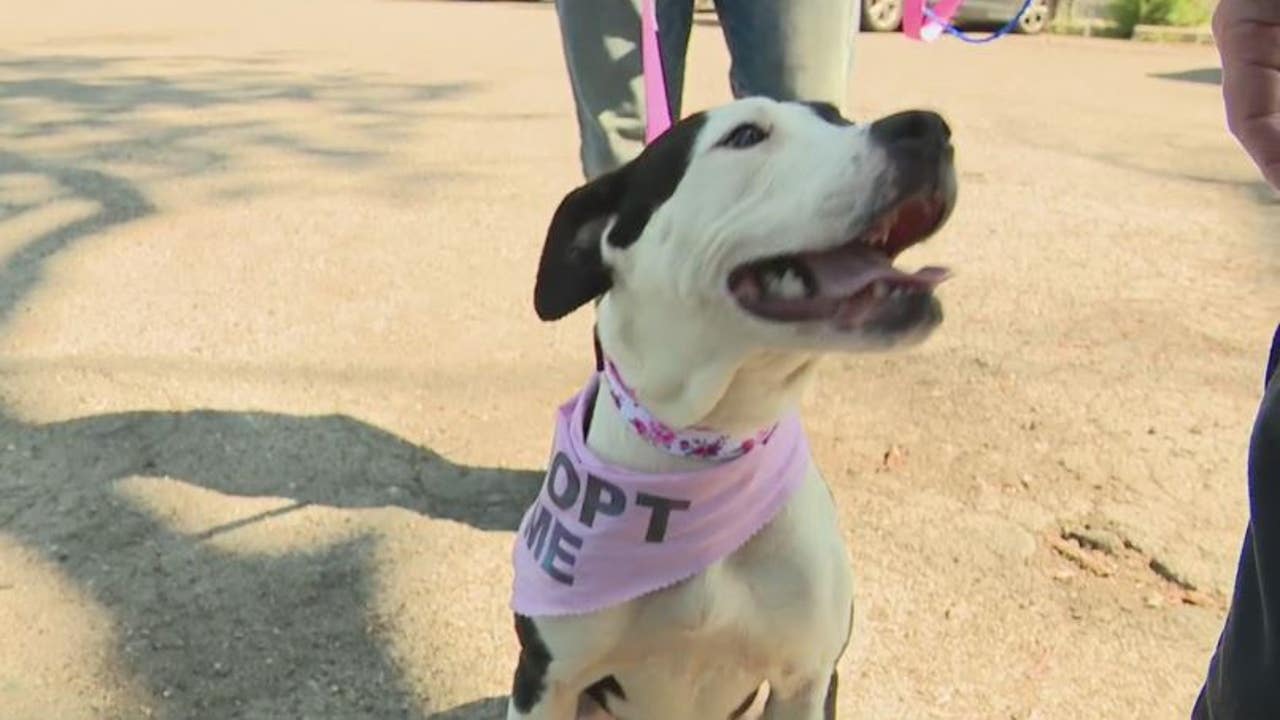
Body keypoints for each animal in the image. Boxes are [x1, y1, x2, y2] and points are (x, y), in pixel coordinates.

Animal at [506, 96, 952, 717]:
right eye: (744, 136)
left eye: (837, 117)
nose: (930, 127)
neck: (701, 445)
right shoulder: (546, 679)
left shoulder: (808, 679)